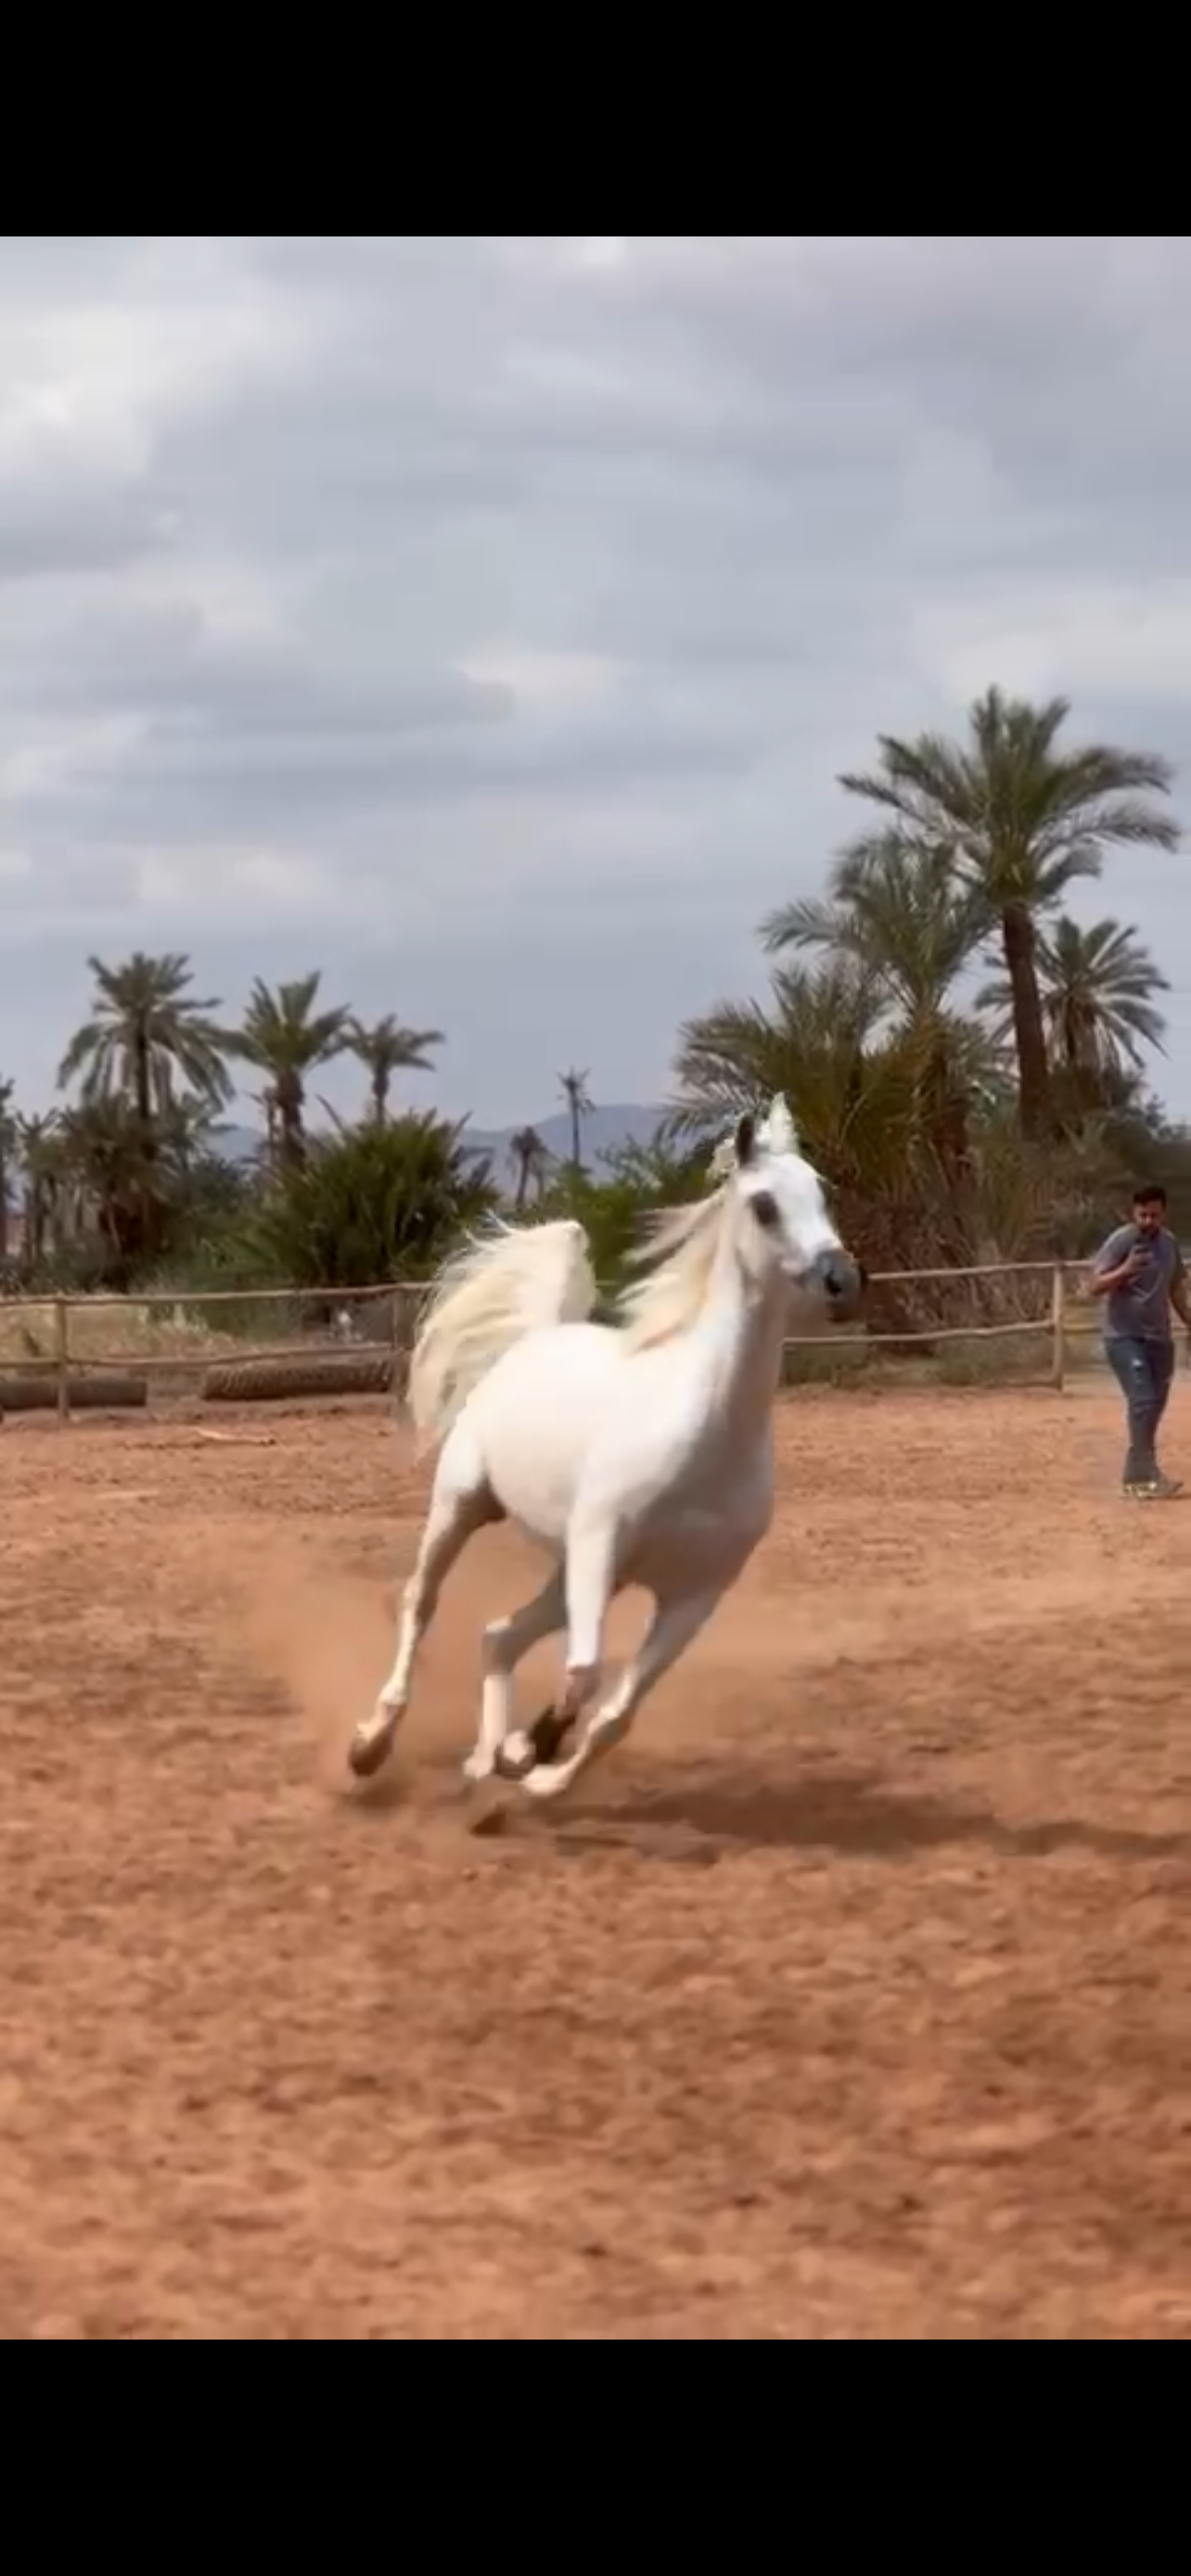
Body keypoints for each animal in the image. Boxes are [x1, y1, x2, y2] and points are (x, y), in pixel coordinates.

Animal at [347, 1095, 865, 1809]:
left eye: (822, 1192)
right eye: (765, 1205)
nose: (843, 1280)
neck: (708, 1436)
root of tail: (533, 1339)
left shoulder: (694, 1594)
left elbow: (616, 1713)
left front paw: (537, 1769)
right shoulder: (600, 1542)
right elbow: (585, 1672)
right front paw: (528, 1749)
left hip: (574, 1568)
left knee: (499, 1635)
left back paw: (483, 1761)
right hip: (464, 1505)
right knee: (420, 1603)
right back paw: (374, 1742)